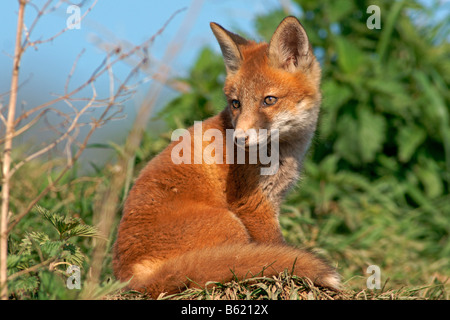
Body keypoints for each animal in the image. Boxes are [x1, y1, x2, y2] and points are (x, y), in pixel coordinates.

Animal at [112, 16, 342, 298]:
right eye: (236, 103)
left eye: (269, 100)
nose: (239, 139)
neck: (283, 152)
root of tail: (133, 281)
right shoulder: (253, 206)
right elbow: (277, 246)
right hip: (231, 224)